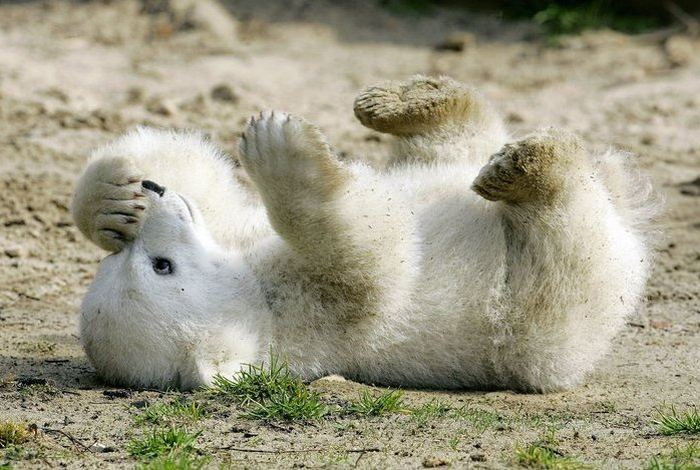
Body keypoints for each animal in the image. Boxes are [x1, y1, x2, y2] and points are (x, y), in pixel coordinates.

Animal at [71, 77, 656, 392]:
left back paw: (400, 102)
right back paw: (527, 168)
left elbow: (209, 186)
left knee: (450, 146)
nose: (155, 198)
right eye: (162, 266)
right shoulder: (321, 314)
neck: (262, 305)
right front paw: (276, 145)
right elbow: (375, 256)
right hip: (547, 313)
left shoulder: (235, 233)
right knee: (565, 239)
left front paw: (115, 201)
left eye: (138, 259)